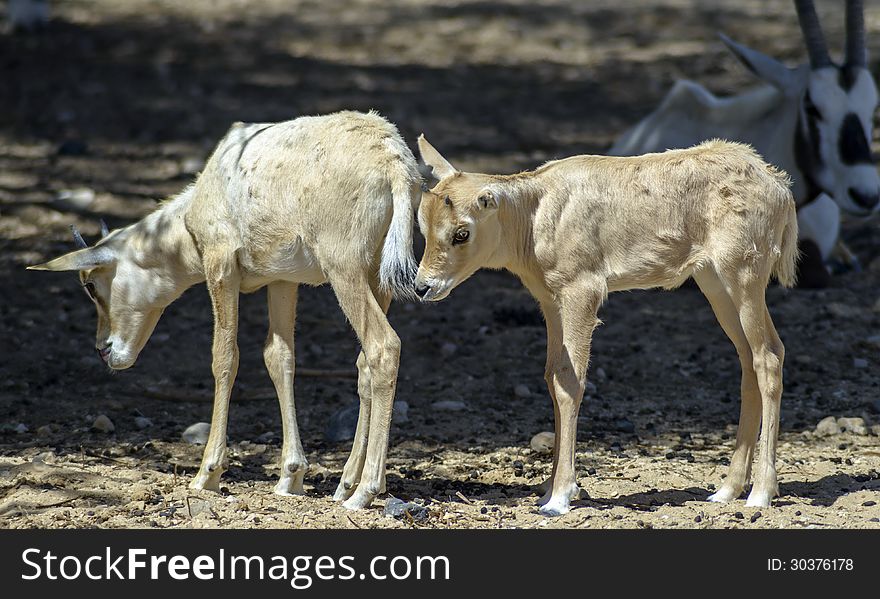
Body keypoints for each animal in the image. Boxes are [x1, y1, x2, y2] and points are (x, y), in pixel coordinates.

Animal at [29, 110, 422, 508]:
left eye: (91, 286)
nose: (104, 350)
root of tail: (393, 160)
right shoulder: (283, 280)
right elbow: (278, 357)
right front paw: (289, 477)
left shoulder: (221, 266)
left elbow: (224, 357)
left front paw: (207, 474)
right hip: (376, 275)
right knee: (363, 364)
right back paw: (346, 484)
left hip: (343, 269)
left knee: (383, 346)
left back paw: (365, 491)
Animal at [416, 136, 800, 516]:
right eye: (422, 224)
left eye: (461, 233)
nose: (423, 287)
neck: (536, 215)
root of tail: (779, 185)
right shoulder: (550, 302)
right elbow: (552, 376)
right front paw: (547, 491)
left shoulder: (582, 292)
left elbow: (571, 382)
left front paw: (560, 498)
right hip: (714, 281)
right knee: (748, 359)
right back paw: (726, 490)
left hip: (744, 275)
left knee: (769, 355)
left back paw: (760, 493)